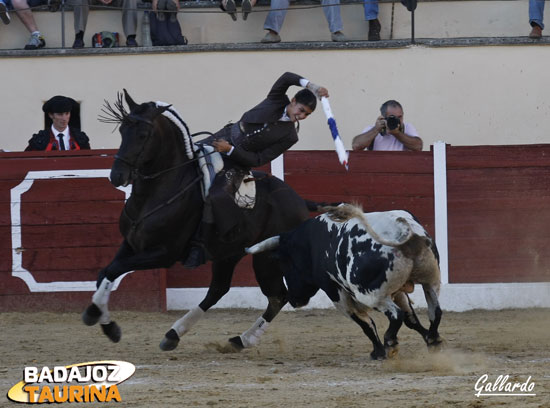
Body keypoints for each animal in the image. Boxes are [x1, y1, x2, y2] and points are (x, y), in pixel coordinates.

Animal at [80, 90, 316, 350]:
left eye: (143, 134)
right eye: (122, 130)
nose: (116, 176)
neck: (156, 192)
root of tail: (300, 201)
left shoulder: (162, 253)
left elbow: (114, 270)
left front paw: (97, 318)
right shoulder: (131, 244)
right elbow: (105, 273)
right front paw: (106, 323)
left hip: (265, 258)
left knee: (277, 295)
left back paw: (244, 339)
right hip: (228, 254)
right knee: (219, 290)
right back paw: (177, 335)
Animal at [248, 204, 446, 360]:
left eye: (285, 264)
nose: (293, 300)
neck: (311, 243)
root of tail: (404, 234)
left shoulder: (335, 292)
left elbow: (365, 323)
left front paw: (378, 352)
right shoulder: (397, 292)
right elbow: (410, 318)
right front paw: (428, 339)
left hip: (370, 294)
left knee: (396, 315)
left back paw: (390, 343)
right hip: (431, 281)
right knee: (434, 310)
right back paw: (434, 340)